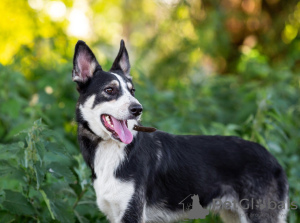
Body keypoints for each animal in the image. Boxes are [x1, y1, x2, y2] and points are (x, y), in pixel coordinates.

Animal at [72, 40, 288, 223]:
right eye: (110, 90)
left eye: (132, 91)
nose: (138, 109)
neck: (112, 149)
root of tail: (273, 158)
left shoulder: (132, 214)